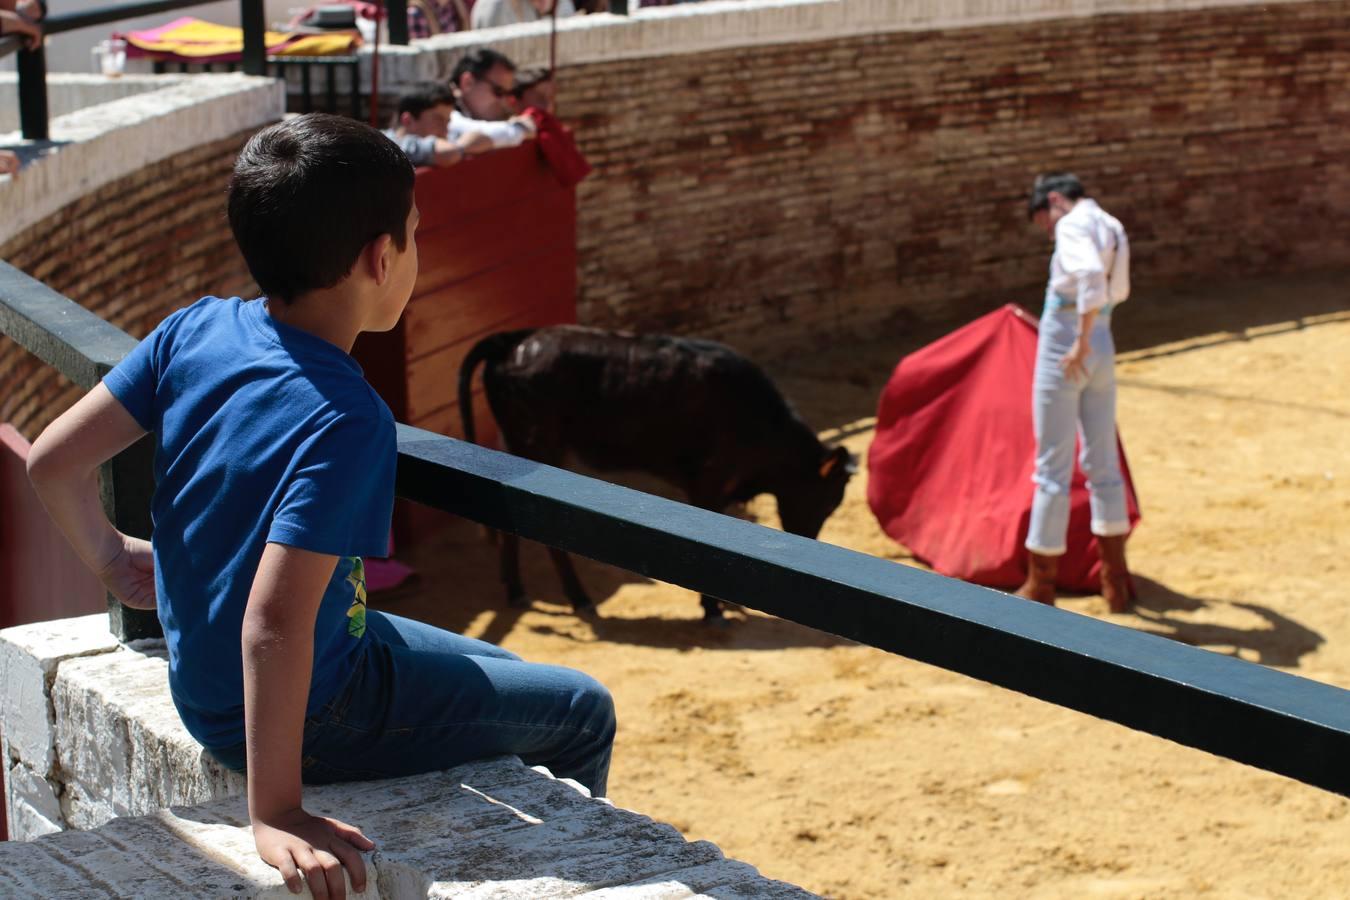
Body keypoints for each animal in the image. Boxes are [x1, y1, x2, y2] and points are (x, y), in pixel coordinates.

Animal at [456, 327, 853, 623]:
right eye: (826, 499)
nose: (809, 543)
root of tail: (515, 339)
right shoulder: (709, 483)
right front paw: (712, 610)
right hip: (540, 447)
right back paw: (580, 599)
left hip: (512, 448)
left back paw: (517, 591)